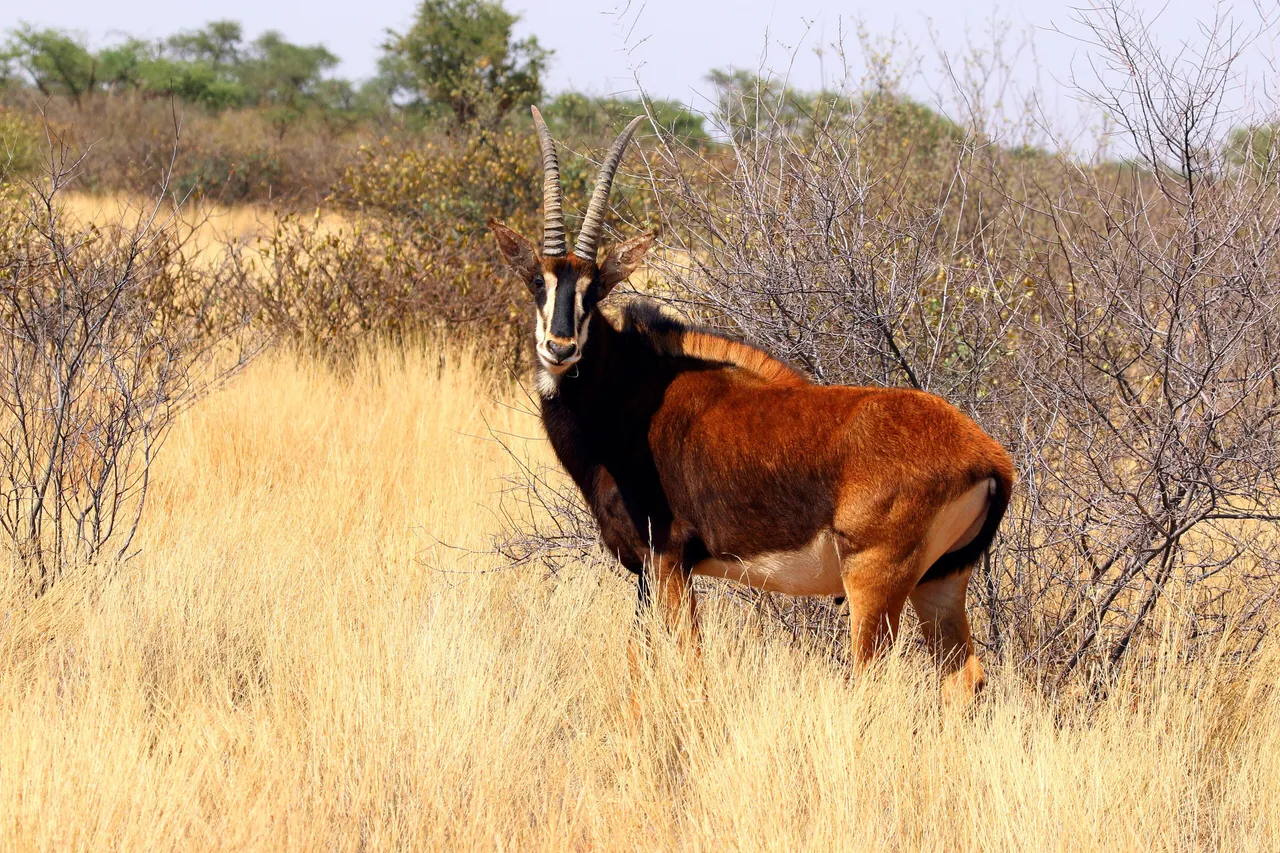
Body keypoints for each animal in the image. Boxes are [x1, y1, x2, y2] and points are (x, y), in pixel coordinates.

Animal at [489, 107, 1015, 700]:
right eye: (538, 282)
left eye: (594, 288)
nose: (560, 348)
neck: (632, 395)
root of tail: (990, 458)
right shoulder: (646, 572)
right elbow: (637, 661)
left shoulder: (668, 561)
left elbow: (690, 662)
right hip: (940, 582)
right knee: (965, 679)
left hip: (874, 582)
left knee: (870, 678)